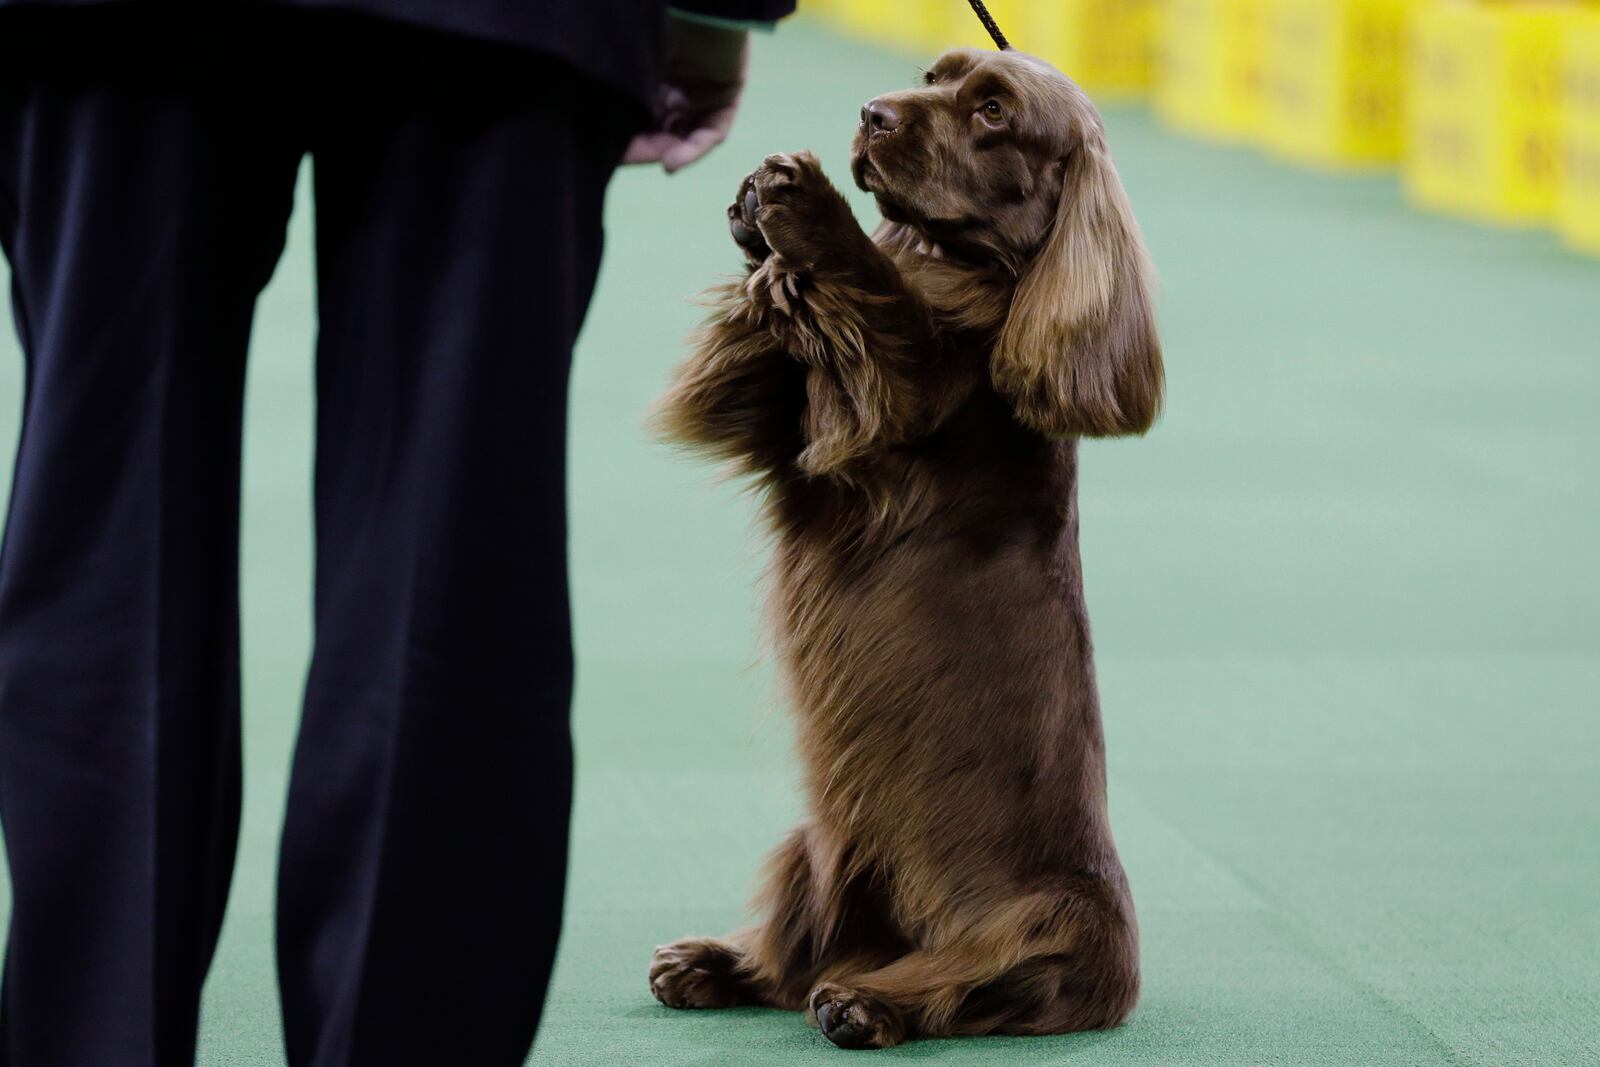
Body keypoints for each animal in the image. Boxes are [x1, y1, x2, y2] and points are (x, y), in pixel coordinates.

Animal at [646, 45, 1164, 1049]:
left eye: (994, 111)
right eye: (933, 74)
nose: (872, 114)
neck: (962, 269)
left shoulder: (900, 400)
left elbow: (889, 319)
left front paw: (810, 213)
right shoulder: (784, 436)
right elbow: (749, 368)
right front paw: (756, 219)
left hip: (1045, 915)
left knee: (958, 980)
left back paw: (866, 1002)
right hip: (814, 845)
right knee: (795, 956)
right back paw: (713, 964)